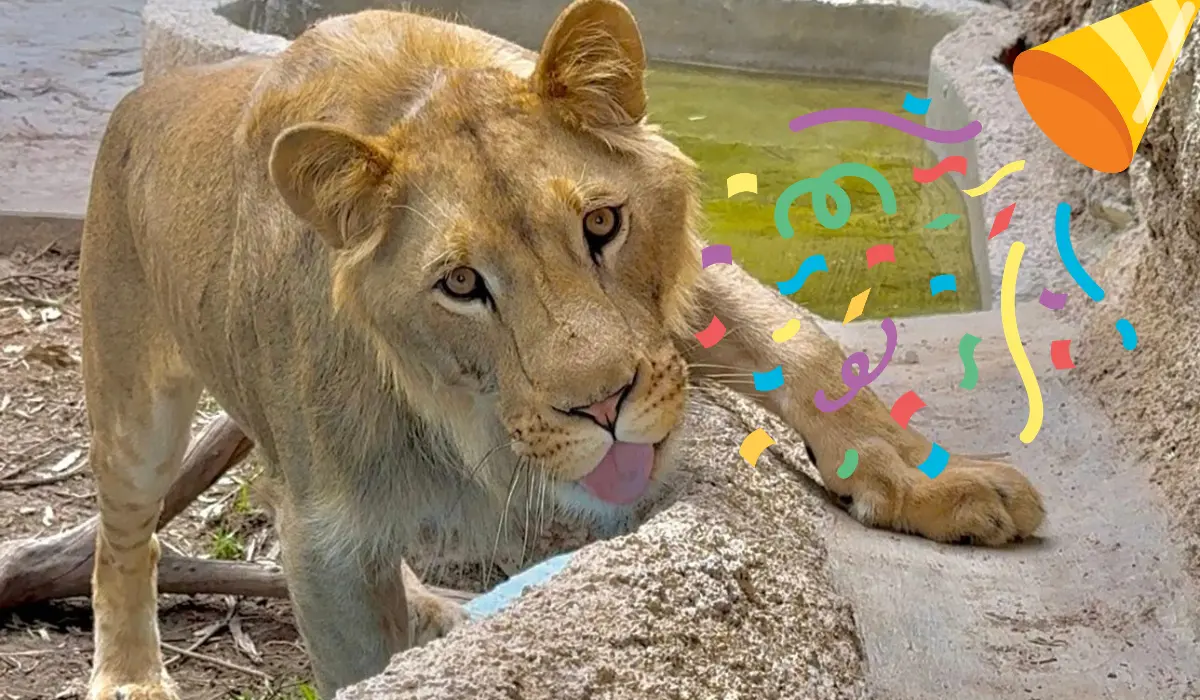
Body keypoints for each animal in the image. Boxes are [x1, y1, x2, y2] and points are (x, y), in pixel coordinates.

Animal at [77, 1, 1044, 697]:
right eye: (460, 284)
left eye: (603, 224)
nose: (603, 406)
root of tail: (138, 99)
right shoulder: (326, 539)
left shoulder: (675, 311)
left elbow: (804, 348)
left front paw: (929, 484)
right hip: (131, 405)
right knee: (126, 543)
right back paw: (129, 679)